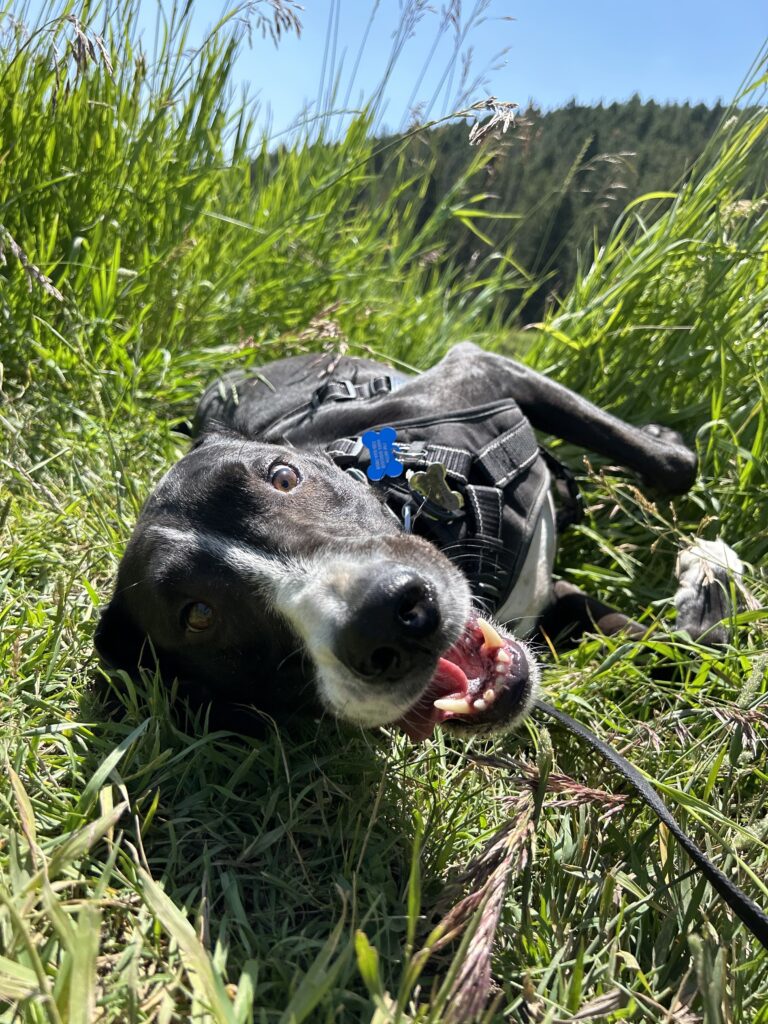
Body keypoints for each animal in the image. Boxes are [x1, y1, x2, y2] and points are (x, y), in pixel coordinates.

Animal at [96, 342, 745, 737]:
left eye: (283, 476)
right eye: (198, 616)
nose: (387, 619)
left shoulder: (481, 369)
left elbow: (672, 467)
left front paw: (709, 581)